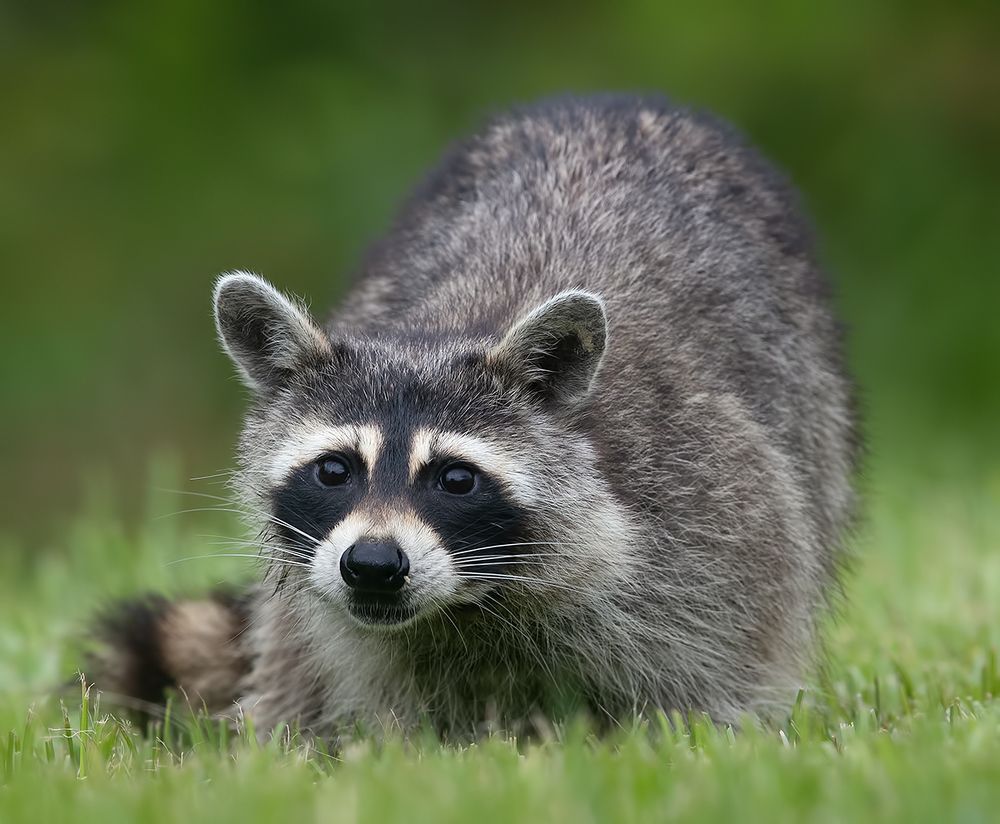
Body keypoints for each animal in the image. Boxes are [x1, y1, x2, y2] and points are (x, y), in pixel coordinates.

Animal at [88, 94, 858, 736]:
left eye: (456, 479)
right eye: (334, 470)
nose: (372, 565)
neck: (473, 604)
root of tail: (614, 100)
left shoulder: (713, 512)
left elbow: (715, 668)